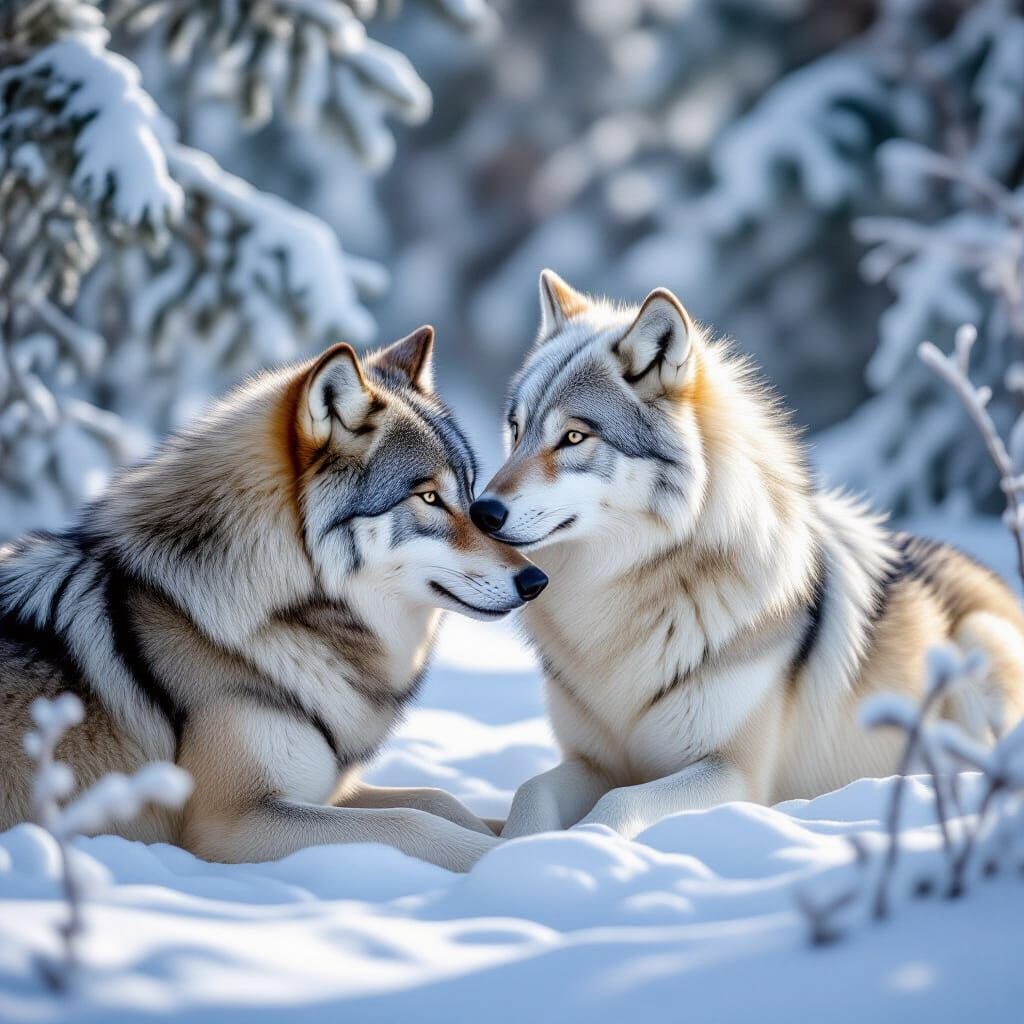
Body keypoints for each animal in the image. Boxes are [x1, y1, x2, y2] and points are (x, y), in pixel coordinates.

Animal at [0, 326, 548, 871]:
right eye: (429, 497)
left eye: (471, 495)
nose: (535, 580)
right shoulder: (234, 823)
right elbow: (414, 822)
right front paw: (524, 859)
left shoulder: (322, 789)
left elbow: (441, 798)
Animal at [470, 271, 1024, 841]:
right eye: (516, 431)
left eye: (574, 436)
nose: (480, 511)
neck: (617, 599)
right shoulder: (595, 761)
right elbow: (529, 792)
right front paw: (513, 851)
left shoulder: (733, 773)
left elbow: (618, 804)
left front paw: (588, 845)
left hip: (979, 644)